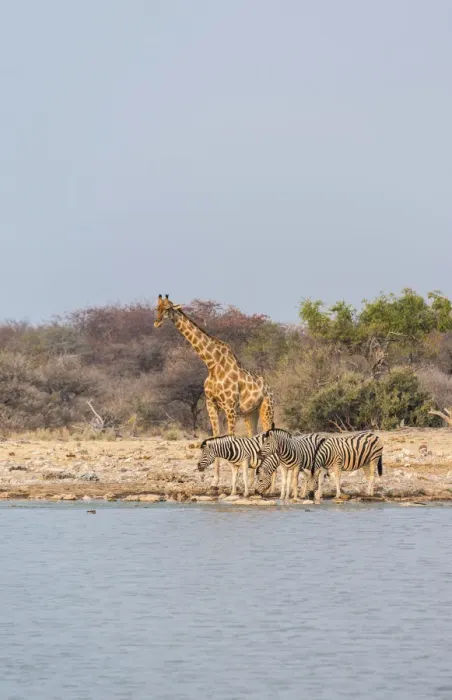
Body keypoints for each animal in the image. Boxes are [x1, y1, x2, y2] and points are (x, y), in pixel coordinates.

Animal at [154, 294, 276, 490]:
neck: (212, 364)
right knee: (253, 436)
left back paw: (270, 484)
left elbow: (231, 440)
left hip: (266, 409)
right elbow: (215, 437)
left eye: (167, 308)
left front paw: (235, 482)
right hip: (250, 413)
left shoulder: (230, 407)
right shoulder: (211, 404)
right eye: (156, 308)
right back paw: (252, 481)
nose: (157, 322)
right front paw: (215, 481)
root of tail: (270, 389)